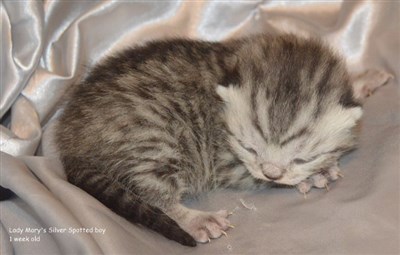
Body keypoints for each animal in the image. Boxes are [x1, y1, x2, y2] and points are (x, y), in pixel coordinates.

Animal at [54, 34, 390, 246]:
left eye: (301, 157)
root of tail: (69, 136)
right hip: (153, 136)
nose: (272, 172)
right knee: (150, 190)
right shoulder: (225, 160)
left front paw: (363, 80)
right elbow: (252, 175)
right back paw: (195, 219)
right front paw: (317, 175)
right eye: (249, 148)